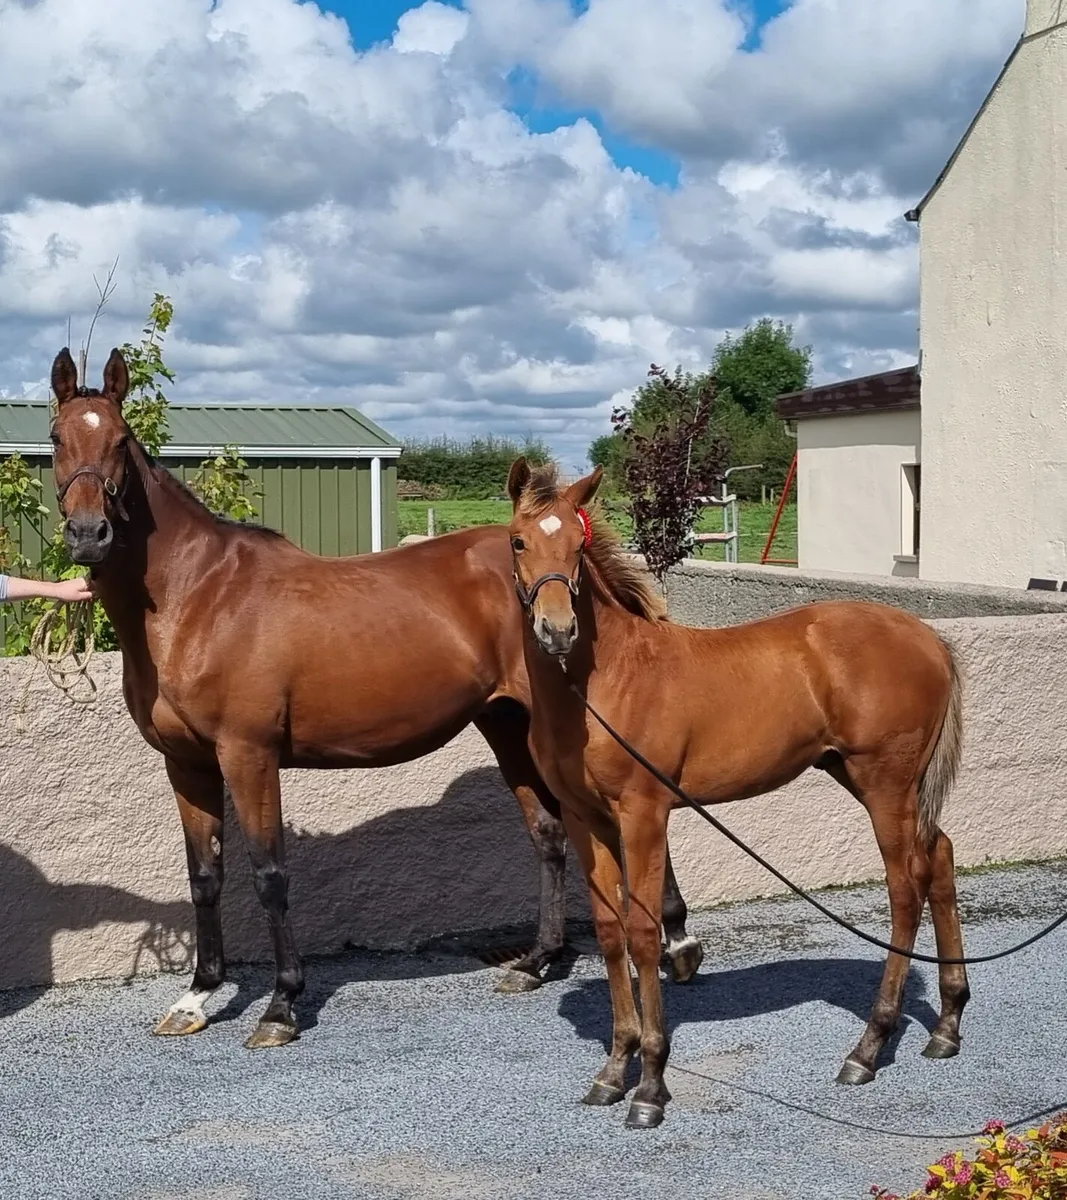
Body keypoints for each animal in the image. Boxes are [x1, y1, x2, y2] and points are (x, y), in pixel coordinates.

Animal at [46, 347, 703, 1050]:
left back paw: (677, 943)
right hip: (507, 725)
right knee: (549, 834)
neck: (197, 597)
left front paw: (281, 1005)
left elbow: (269, 875)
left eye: (120, 440)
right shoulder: (187, 763)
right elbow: (205, 877)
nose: (88, 533)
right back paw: (536, 961)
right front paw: (197, 996)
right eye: (56, 437)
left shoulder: (249, 756)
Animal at [505, 457, 968, 1129]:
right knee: (940, 859)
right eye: (519, 541)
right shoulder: (585, 816)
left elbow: (644, 933)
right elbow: (611, 931)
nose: (558, 630)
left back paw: (868, 1048)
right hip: (873, 781)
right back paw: (948, 1025)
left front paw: (650, 1086)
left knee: (905, 889)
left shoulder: (644, 813)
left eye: (577, 545)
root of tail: (928, 637)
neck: (604, 681)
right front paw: (613, 1071)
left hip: (885, 783)